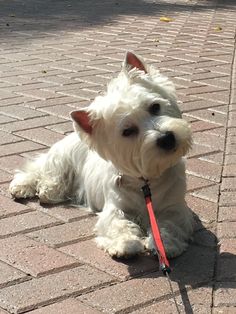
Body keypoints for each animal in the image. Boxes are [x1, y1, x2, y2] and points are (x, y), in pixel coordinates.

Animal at [9, 51, 194, 258]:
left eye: (155, 107)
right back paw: (31, 188)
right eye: (128, 131)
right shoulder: (114, 207)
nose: (167, 138)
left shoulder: (175, 207)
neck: (147, 182)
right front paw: (125, 244)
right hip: (62, 159)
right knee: (43, 172)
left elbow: (170, 224)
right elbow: (116, 223)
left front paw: (166, 244)